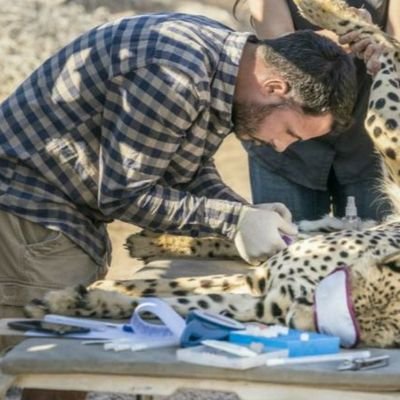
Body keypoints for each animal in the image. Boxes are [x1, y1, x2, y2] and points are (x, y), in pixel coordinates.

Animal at [24, 0, 400, 348]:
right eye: (350, 301)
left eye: (353, 334)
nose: (297, 321)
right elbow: (167, 285)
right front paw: (96, 293)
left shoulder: (257, 294)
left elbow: (176, 296)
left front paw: (85, 300)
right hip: (383, 131)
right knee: (388, 46)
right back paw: (324, 10)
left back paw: (153, 242)